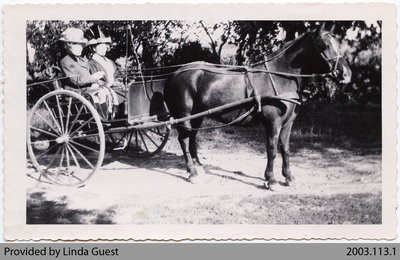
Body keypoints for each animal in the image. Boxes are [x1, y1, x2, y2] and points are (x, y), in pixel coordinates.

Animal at [164, 23, 352, 189]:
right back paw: (192, 172)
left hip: (198, 116)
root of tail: (176, 73)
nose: (346, 75)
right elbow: (272, 150)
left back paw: (198, 167)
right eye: (325, 45)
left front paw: (289, 178)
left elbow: (285, 149)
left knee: (192, 139)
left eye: (338, 44)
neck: (280, 76)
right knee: (184, 139)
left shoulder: (288, 123)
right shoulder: (273, 122)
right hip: (185, 115)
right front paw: (271, 180)